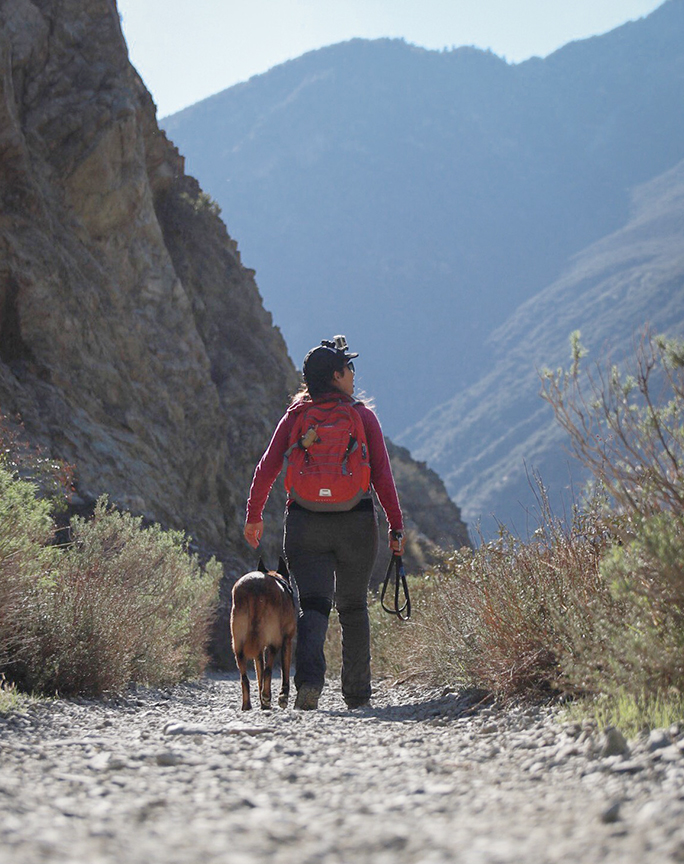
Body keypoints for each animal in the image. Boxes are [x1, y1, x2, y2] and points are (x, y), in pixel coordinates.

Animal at [231, 556, 296, 712]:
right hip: (274, 641)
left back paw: (247, 705)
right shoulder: (287, 640)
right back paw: (266, 696)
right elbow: (284, 670)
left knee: (244, 678)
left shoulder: (259, 649)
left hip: (237, 645)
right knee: (268, 670)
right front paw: (282, 697)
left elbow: (259, 672)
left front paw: (262, 703)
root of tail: (255, 588)